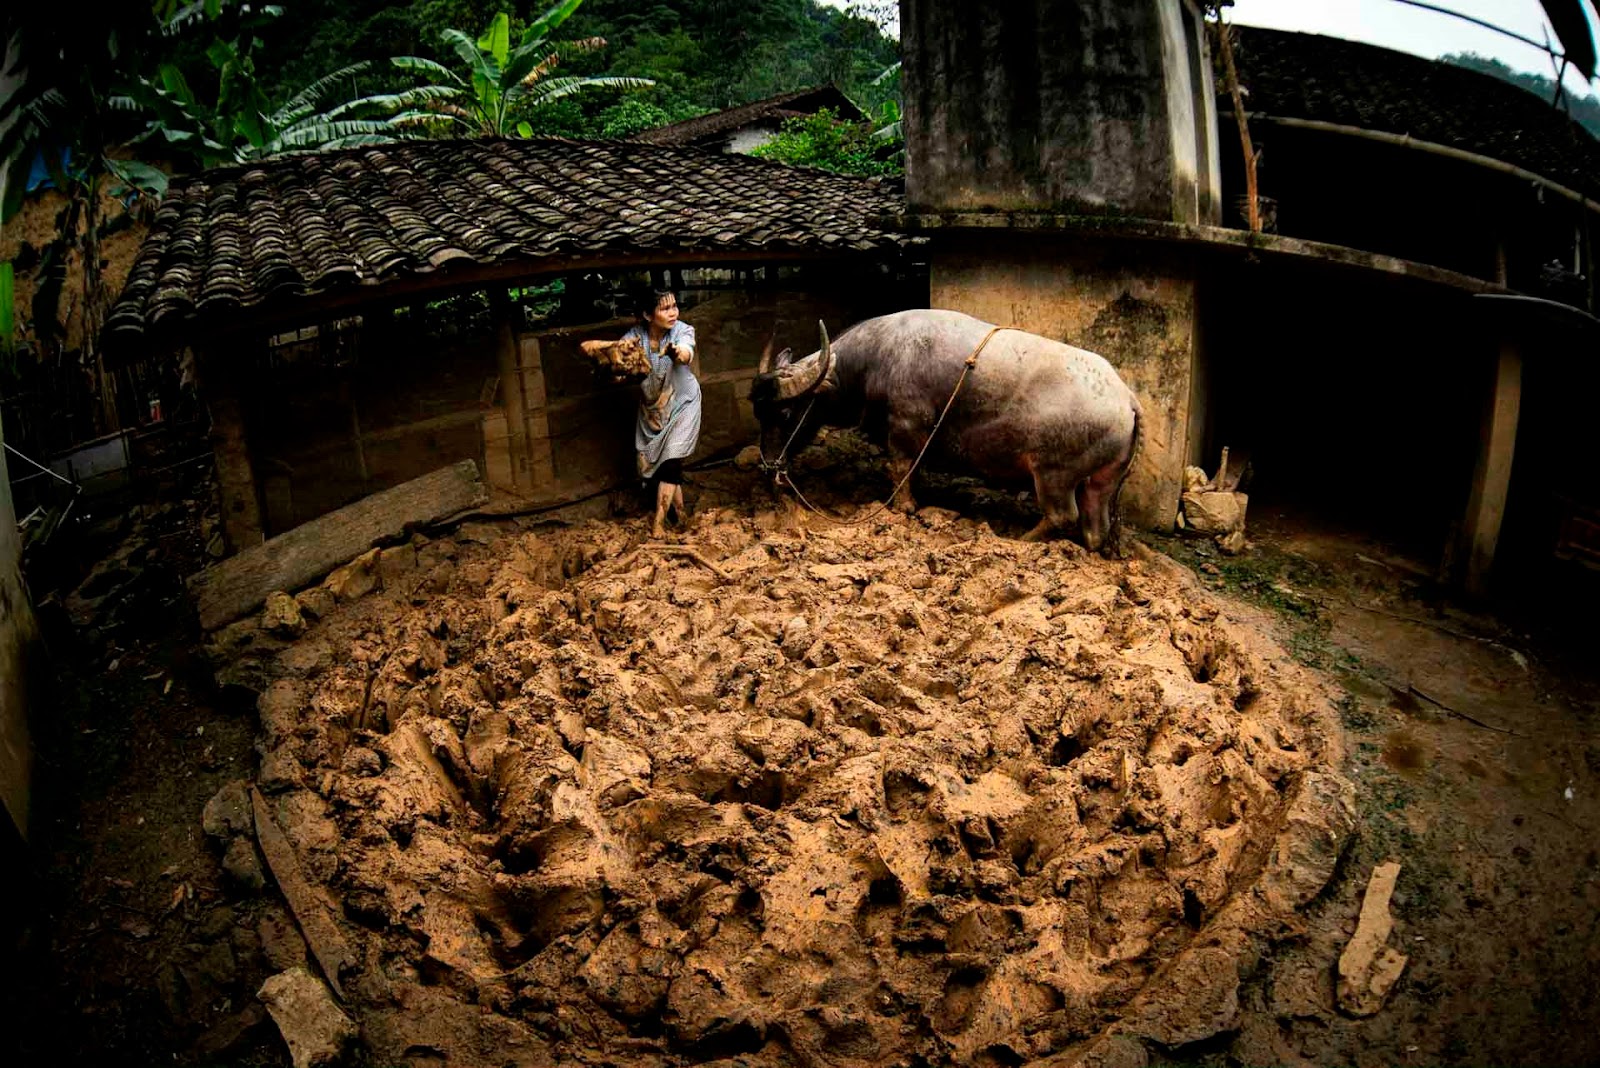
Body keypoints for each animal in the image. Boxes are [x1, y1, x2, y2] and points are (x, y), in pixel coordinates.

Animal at [758, 326, 998, 524]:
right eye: (759, 415)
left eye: (785, 413)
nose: (768, 466)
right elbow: (912, 468)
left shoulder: (906, 425)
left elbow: (901, 466)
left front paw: (904, 506)